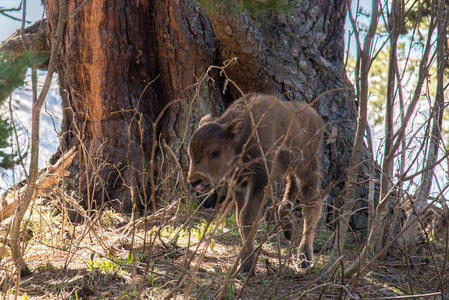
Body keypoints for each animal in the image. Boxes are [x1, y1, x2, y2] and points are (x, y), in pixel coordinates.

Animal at [186, 94, 322, 276]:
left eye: (215, 153)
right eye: (190, 153)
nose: (196, 180)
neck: (243, 137)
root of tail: (316, 117)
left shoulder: (260, 180)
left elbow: (248, 216)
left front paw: (246, 266)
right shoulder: (239, 186)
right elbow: (240, 219)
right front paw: (244, 262)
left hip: (307, 167)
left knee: (312, 207)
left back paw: (304, 259)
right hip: (291, 169)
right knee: (288, 197)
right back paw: (288, 230)